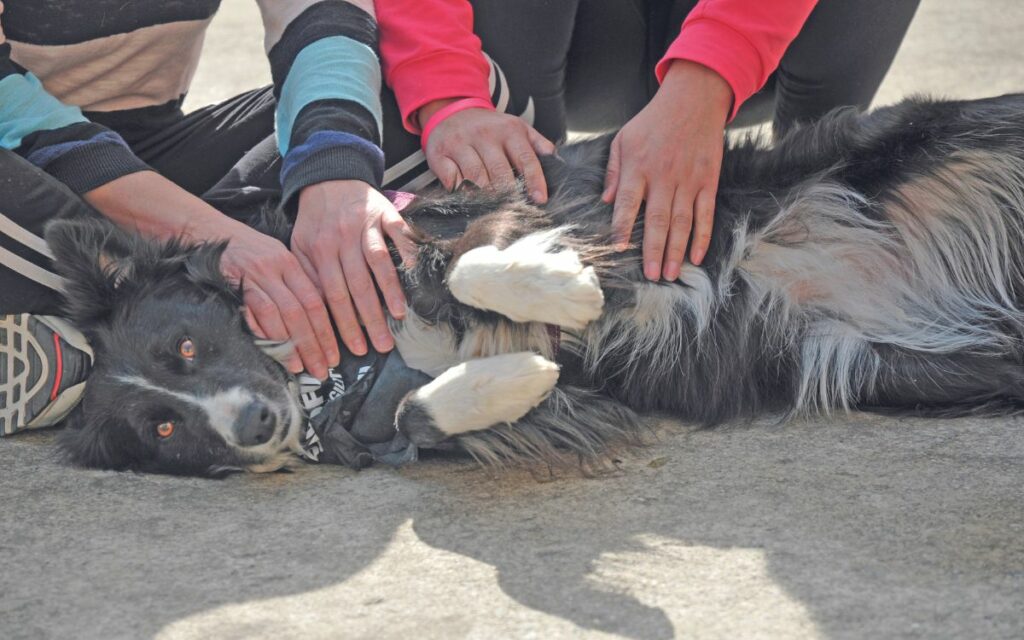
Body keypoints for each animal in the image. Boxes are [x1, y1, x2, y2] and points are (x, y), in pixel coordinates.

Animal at [48, 93, 1024, 475]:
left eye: (188, 344)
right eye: (164, 430)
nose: (252, 425)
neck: (340, 373)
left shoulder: (493, 201)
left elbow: (464, 259)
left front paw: (566, 295)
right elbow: (423, 413)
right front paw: (516, 373)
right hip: (885, 362)